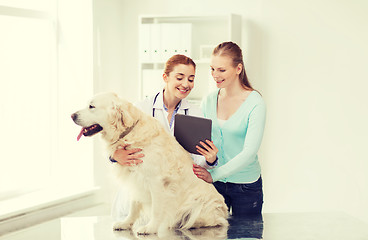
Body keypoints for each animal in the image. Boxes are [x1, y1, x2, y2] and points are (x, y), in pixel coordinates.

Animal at [71, 93, 229, 235]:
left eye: (91, 106)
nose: (72, 115)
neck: (129, 133)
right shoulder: (136, 178)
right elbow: (134, 206)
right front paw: (126, 223)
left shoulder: (156, 181)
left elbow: (157, 209)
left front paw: (150, 228)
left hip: (200, 204)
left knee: (213, 221)